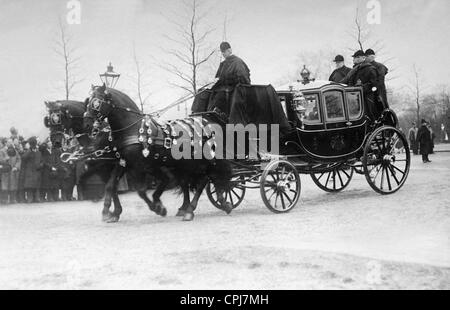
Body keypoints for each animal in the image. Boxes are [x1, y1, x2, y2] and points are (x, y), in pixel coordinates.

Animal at [82, 85, 234, 220]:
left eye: (96, 103)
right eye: (88, 102)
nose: (87, 124)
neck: (132, 128)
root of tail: (209, 119)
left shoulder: (140, 166)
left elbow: (142, 190)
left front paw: (158, 208)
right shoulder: (123, 163)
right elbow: (110, 186)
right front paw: (109, 212)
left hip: (204, 160)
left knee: (206, 179)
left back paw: (192, 210)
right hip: (188, 163)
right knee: (203, 179)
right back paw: (216, 204)